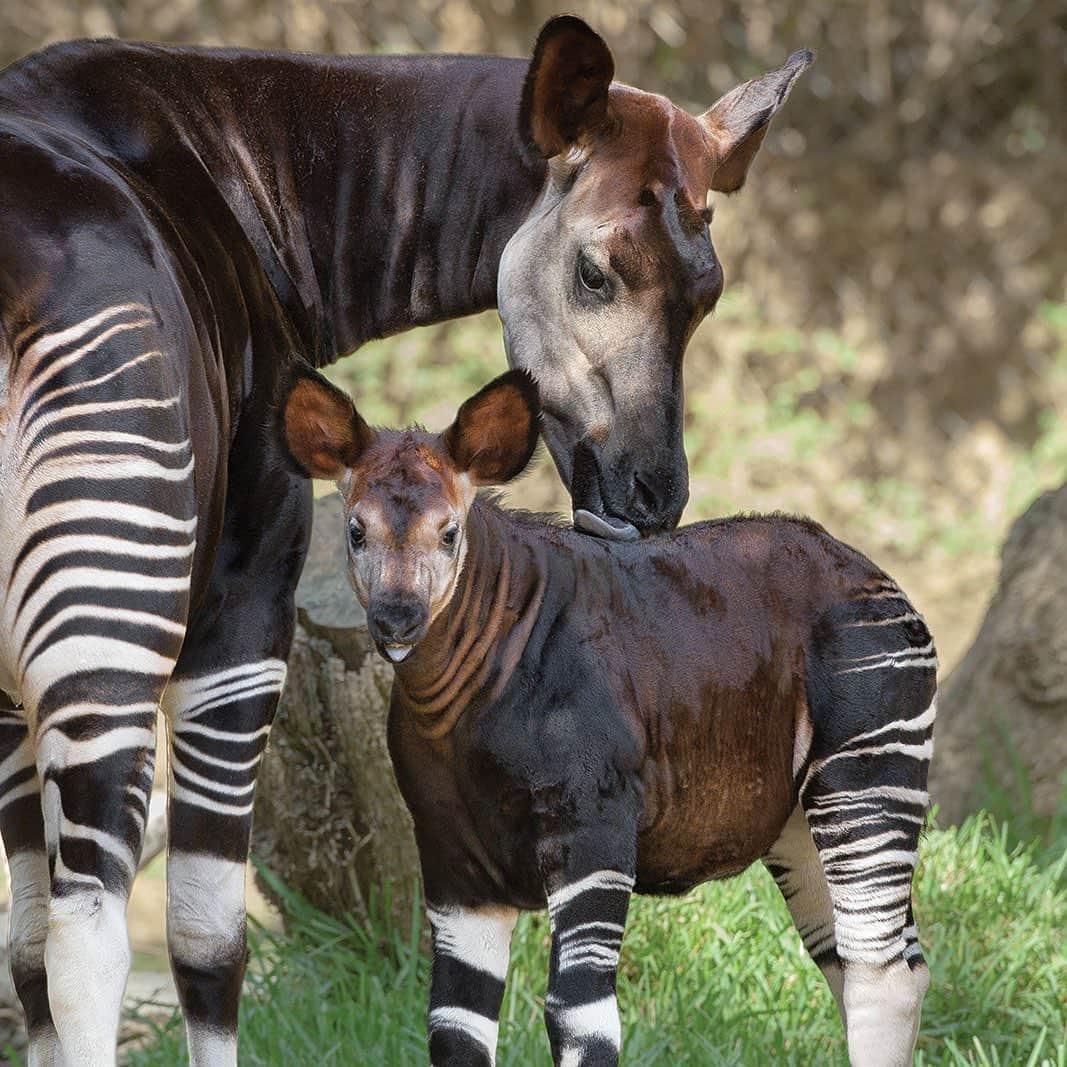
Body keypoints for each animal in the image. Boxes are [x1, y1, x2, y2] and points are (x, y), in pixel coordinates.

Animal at [281, 367, 934, 1067]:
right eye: (356, 531)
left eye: (448, 532)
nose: (397, 619)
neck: (466, 706)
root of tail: (876, 575)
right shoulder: (453, 860)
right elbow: (454, 1024)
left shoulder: (592, 830)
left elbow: (578, 1016)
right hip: (794, 818)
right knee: (863, 960)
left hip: (866, 773)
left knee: (880, 969)